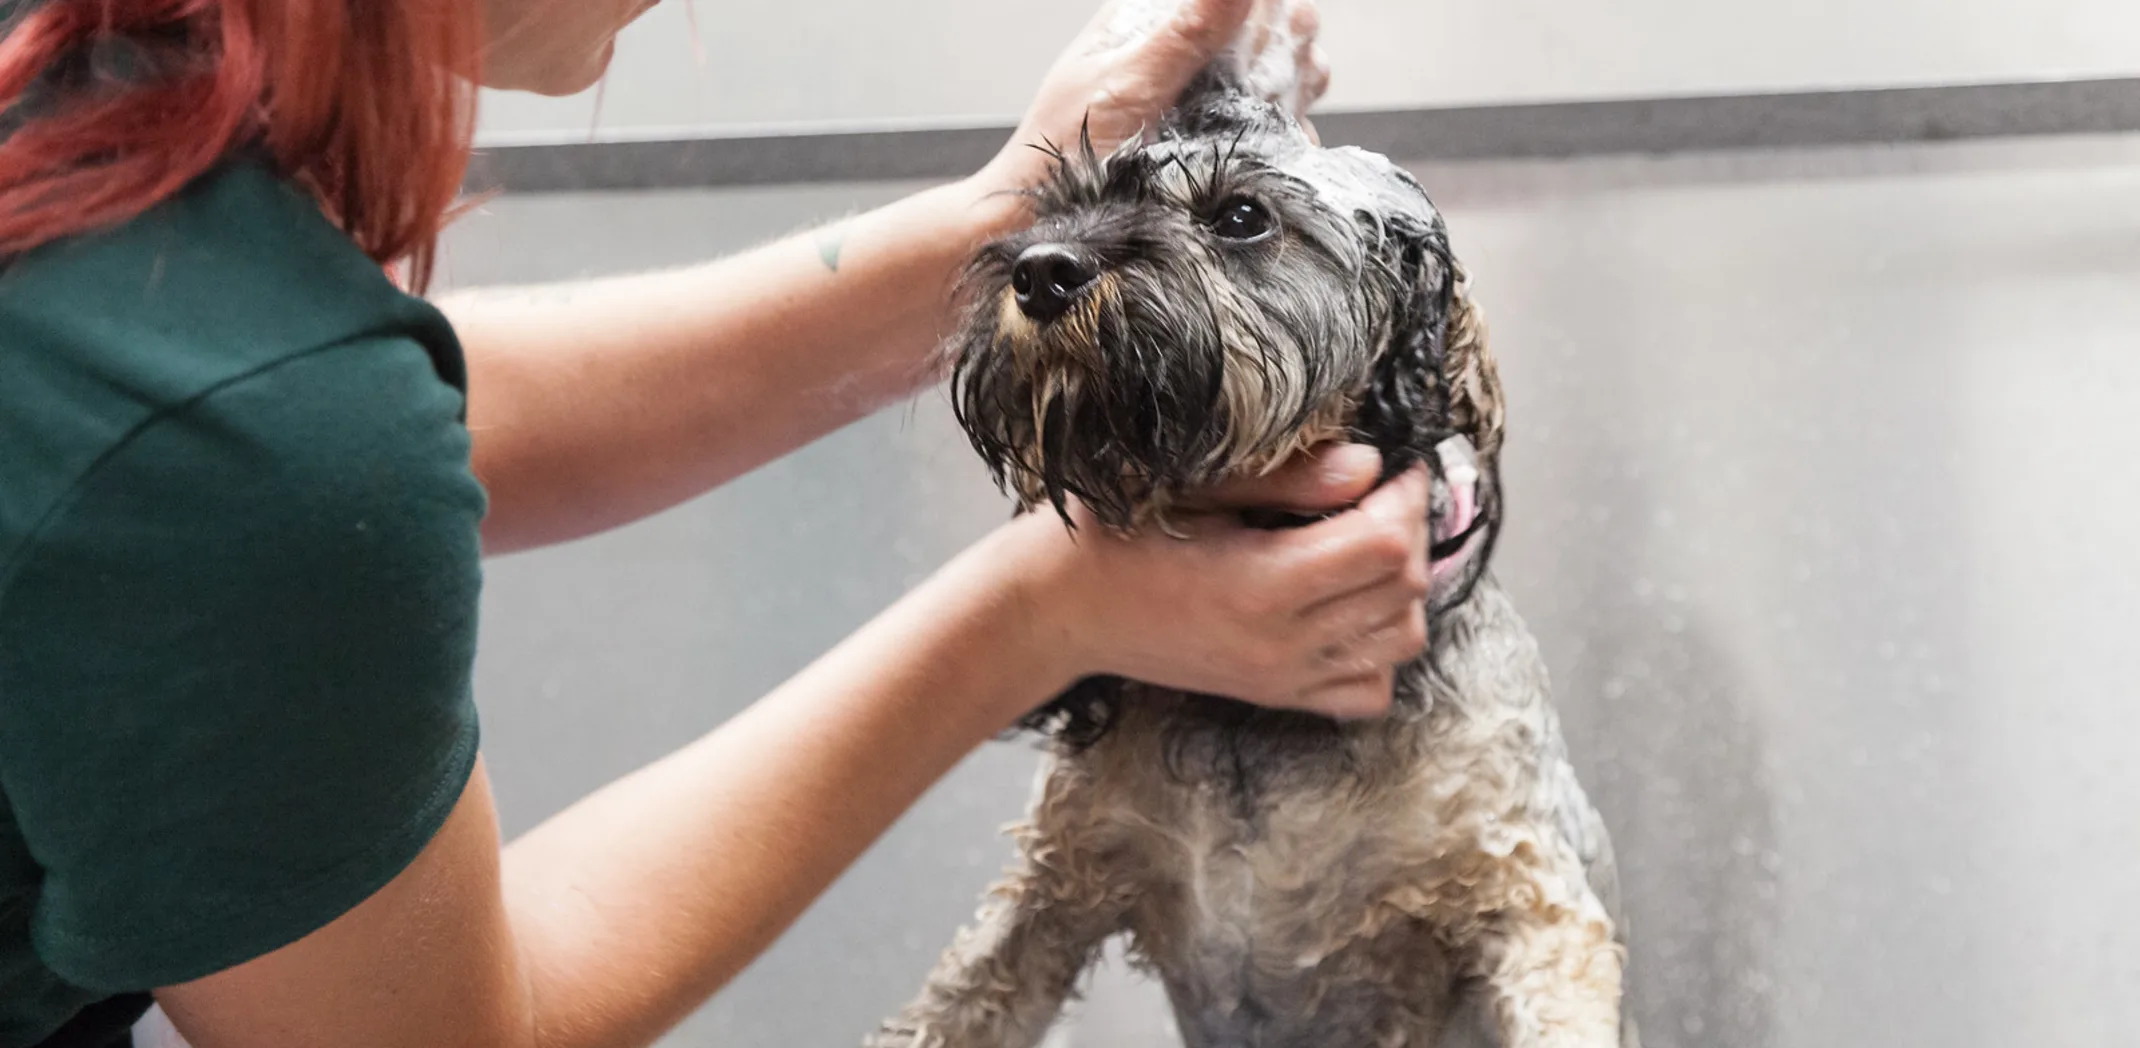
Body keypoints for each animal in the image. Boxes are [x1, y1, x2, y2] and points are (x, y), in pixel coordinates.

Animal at [868, 57, 1634, 1048]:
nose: (1041, 271)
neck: (1254, 721)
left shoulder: (1527, 894)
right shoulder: (1057, 886)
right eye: (1068, 203)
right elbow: (960, 1002)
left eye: (1240, 216)